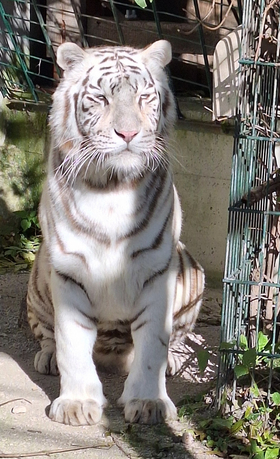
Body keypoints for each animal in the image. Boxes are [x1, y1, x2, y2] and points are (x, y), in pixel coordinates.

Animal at [27, 39, 205, 428]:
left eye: (143, 97)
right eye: (102, 98)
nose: (128, 134)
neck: (111, 187)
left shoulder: (156, 271)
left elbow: (153, 344)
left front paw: (150, 402)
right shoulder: (68, 270)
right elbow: (71, 342)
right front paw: (77, 404)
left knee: (175, 338)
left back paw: (173, 361)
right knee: (46, 334)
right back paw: (48, 358)